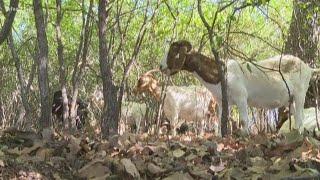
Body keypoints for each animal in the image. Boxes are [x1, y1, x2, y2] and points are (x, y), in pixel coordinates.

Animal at [160, 40, 320, 136]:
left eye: (173, 53)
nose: (161, 67)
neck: (222, 73)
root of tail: (308, 68)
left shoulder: (241, 98)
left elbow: (243, 120)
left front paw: (245, 137)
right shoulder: (222, 102)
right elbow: (221, 120)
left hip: (300, 94)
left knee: (300, 116)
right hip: (291, 99)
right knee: (297, 115)